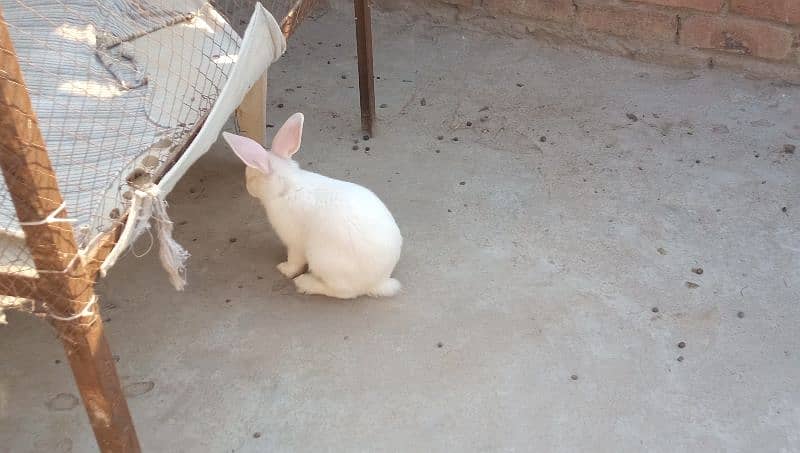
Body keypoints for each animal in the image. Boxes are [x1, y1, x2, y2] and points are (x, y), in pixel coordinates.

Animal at [222, 111, 404, 298]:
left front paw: (284, 269)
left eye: (252, 177)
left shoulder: (294, 242)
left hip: (322, 258)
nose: (248, 187)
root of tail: (379, 282)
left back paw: (305, 283)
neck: (287, 186)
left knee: (343, 292)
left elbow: (294, 261)